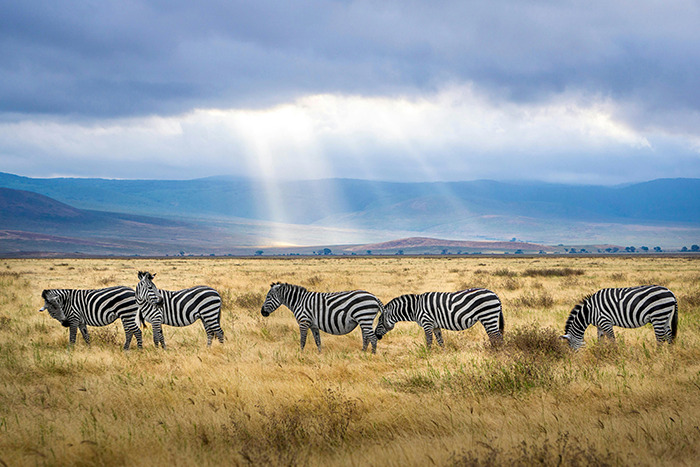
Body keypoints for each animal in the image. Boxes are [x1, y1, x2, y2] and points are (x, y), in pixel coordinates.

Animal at [374, 288, 505, 348]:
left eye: (380, 321)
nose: (376, 335)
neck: (415, 308)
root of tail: (495, 295)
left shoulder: (427, 323)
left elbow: (429, 340)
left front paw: (427, 355)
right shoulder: (435, 325)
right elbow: (440, 341)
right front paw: (443, 354)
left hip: (488, 316)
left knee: (497, 336)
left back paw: (496, 353)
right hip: (489, 318)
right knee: (495, 336)